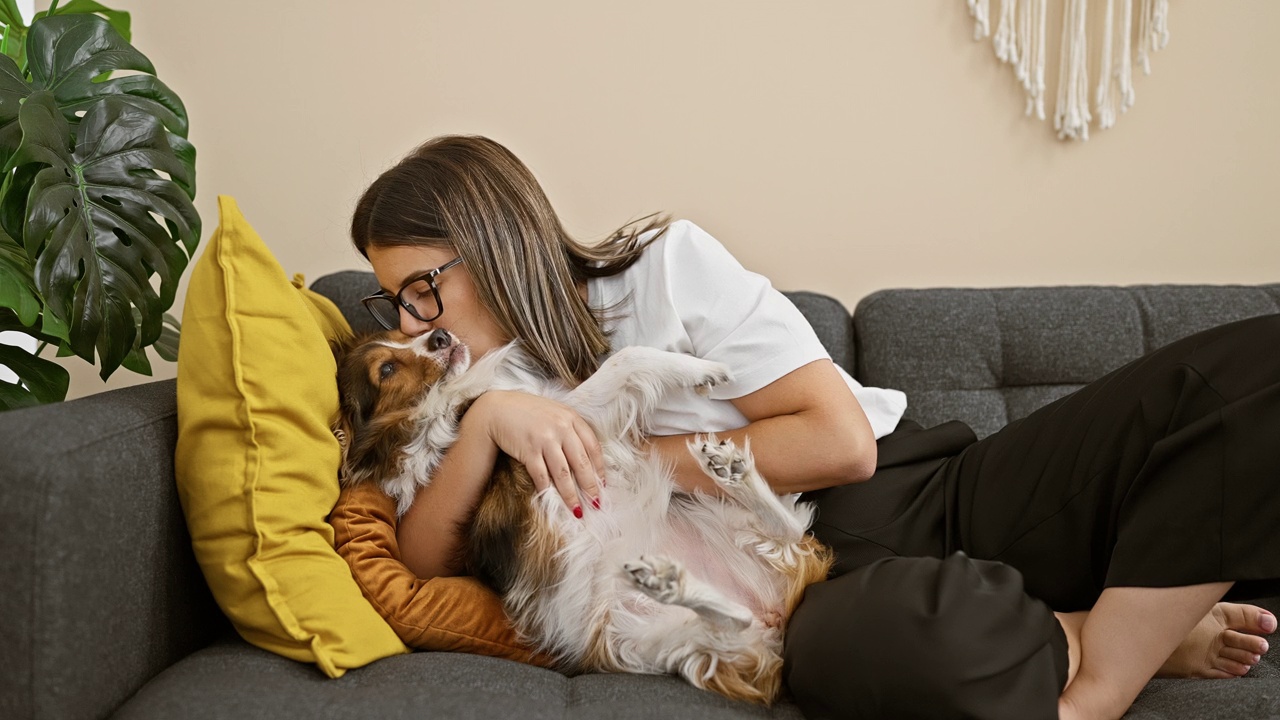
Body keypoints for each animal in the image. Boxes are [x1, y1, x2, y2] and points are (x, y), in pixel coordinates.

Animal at [332, 326, 829, 702]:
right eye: (387, 368)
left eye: (406, 333)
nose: (439, 333)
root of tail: (776, 616)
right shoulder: (564, 421)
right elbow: (624, 361)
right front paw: (700, 369)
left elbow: (626, 359)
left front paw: (696, 369)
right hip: (644, 635)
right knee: (734, 614)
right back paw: (669, 579)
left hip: (715, 530)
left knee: (784, 531)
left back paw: (731, 475)